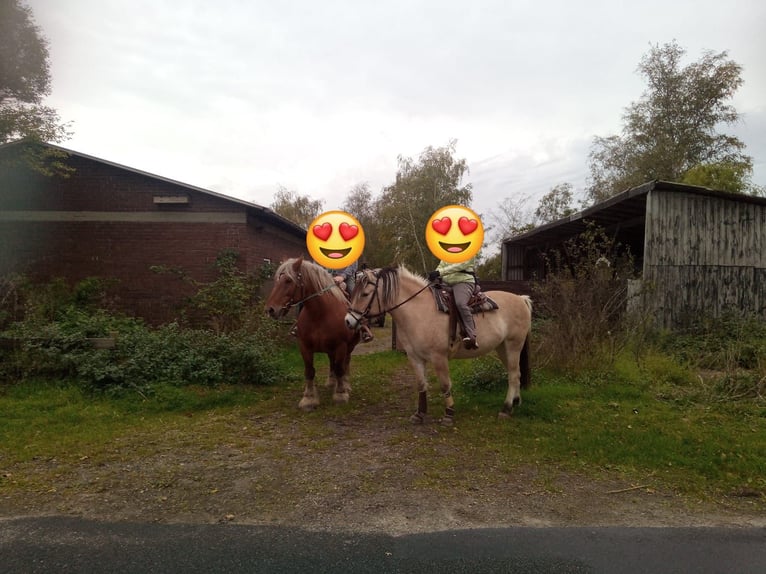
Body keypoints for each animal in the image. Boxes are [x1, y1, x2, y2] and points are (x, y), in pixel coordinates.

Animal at [265, 257, 361, 411]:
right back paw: (331, 381)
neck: (320, 314)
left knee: (345, 362)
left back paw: (345, 384)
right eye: (277, 280)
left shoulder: (341, 345)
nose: (270, 310)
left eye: (288, 281)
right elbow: (309, 371)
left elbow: (340, 368)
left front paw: (340, 394)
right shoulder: (304, 346)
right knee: (332, 362)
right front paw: (308, 398)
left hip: (349, 346)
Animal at [345, 265, 532, 424]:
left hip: (513, 345)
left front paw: (449, 414)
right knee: (516, 373)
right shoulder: (414, 357)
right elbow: (421, 384)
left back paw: (506, 409)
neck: (419, 311)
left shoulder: (439, 357)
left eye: (365, 293)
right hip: (502, 347)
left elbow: (445, 384)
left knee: (513, 375)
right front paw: (419, 414)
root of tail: (521, 299)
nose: (348, 321)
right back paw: (516, 402)